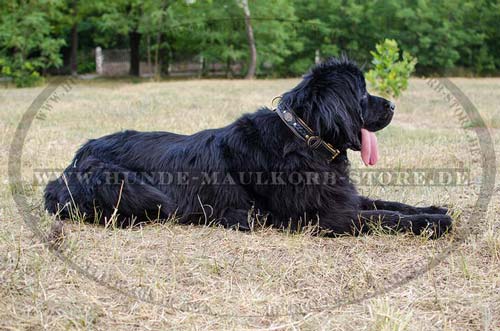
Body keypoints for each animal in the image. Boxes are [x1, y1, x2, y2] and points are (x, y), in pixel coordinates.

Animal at [45, 57, 454, 239]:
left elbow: (388, 203)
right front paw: (434, 223)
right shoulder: (324, 215)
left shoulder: (340, 196)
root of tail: (74, 160)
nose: (393, 105)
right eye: (362, 94)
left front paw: (433, 209)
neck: (303, 139)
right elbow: (385, 217)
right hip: (131, 188)